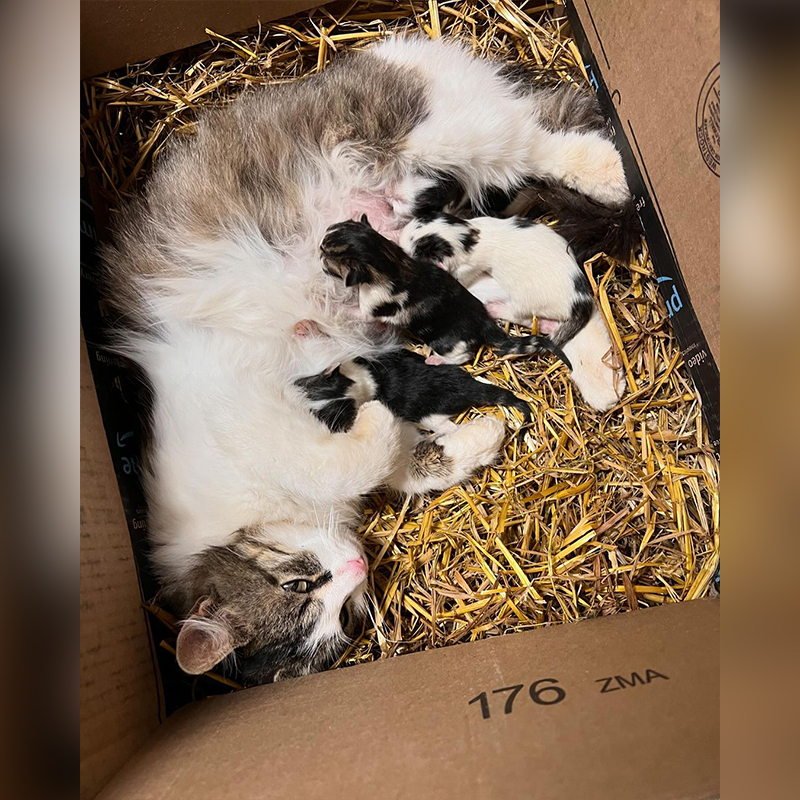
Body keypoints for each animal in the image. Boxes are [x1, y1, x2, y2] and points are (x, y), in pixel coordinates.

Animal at [100, 34, 632, 684]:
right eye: (343, 618)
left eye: (300, 586)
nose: (355, 569)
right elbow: (411, 465)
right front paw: (477, 436)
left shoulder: (241, 406)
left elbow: (336, 461)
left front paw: (373, 412)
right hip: (464, 262)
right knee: (557, 291)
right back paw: (599, 375)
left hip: (436, 131)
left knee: (546, 132)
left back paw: (614, 174)